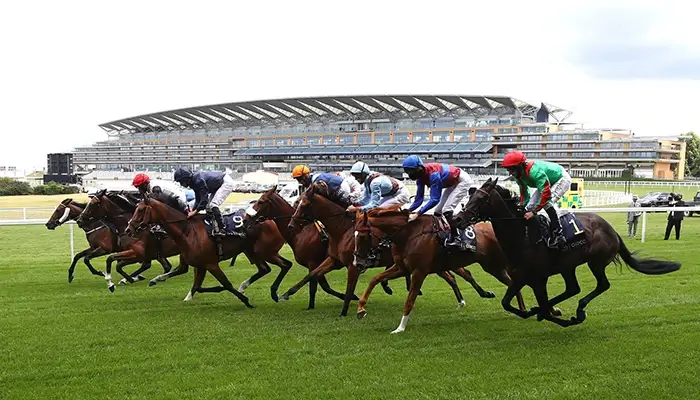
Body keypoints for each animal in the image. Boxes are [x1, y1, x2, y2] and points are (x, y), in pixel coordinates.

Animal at [282, 183, 494, 318]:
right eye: (296, 202)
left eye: (304, 204)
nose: (291, 224)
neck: (341, 229)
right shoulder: (334, 260)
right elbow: (311, 275)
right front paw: (286, 293)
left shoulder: (353, 265)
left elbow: (350, 289)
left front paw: (345, 311)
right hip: (436, 264)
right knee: (453, 276)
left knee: (463, 274)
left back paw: (481, 294)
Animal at [356, 206, 532, 334]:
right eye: (354, 234)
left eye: (362, 236)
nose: (357, 261)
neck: (410, 234)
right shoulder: (401, 267)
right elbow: (375, 279)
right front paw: (361, 309)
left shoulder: (419, 271)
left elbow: (410, 300)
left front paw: (400, 328)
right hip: (492, 266)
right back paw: (520, 309)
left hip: (495, 266)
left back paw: (520, 308)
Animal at [456, 179, 680, 328]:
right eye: (470, 196)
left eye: (481, 198)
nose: (458, 218)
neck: (523, 236)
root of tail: (611, 229)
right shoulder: (522, 278)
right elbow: (506, 303)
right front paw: (535, 311)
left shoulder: (538, 279)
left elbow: (543, 308)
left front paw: (557, 317)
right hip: (568, 265)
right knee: (573, 288)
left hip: (595, 262)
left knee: (602, 285)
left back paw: (579, 311)